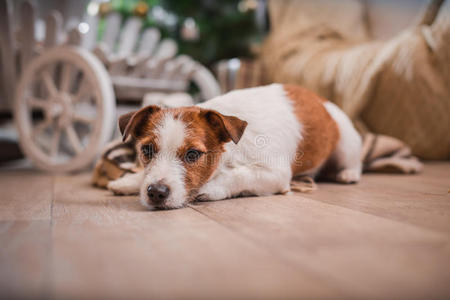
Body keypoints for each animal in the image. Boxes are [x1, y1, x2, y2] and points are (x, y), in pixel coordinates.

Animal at [108, 84, 362, 210]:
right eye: (147, 151)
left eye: (193, 154)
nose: (156, 193)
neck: (230, 153)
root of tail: (322, 100)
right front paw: (129, 181)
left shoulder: (275, 174)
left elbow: (241, 175)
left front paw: (211, 189)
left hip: (346, 142)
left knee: (353, 162)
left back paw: (348, 174)